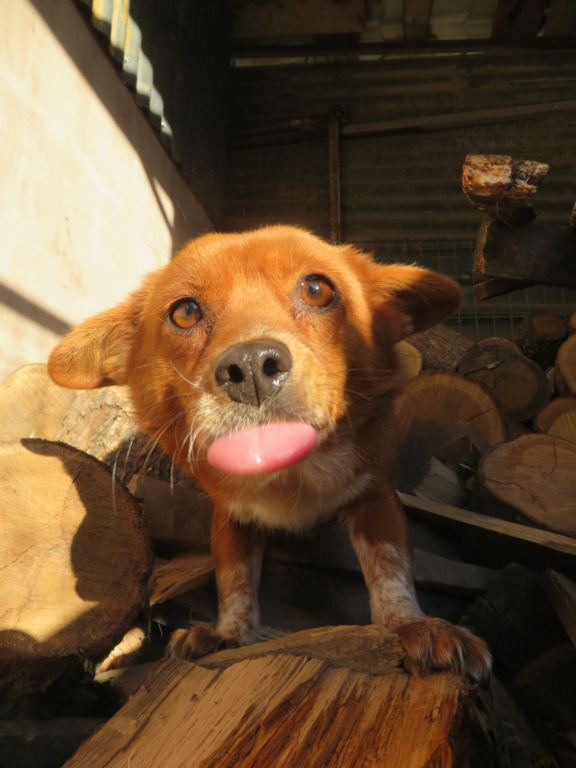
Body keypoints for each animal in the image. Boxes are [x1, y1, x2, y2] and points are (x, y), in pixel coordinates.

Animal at [48, 225, 490, 680]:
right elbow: (234, 580)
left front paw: (410, 624)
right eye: (184, 312)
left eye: (316, 289)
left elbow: (390, 567)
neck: (292, 476)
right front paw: (229, 634)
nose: (250, 367)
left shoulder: (376, 496)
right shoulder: (230, 516)